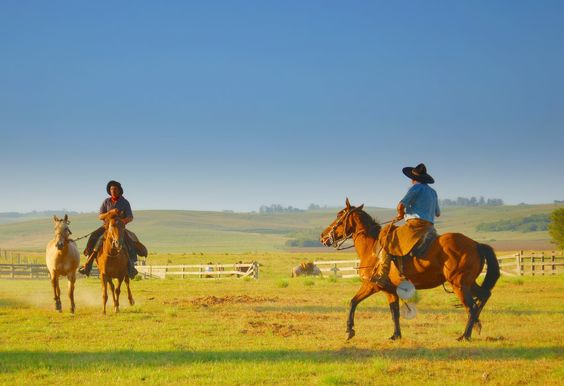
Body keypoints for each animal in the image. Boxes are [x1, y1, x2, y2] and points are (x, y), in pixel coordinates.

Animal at [320, 199, 500, 340]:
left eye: (339, 215)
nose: (323, 236)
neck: (372, 247)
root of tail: (476, 244)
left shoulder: (372, 285)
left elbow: (353, 302)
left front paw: (349, 330)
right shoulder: (390, 290)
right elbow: (394, 312)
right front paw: (396, 335)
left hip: (459, 285)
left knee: (471, 307)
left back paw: (465, 335)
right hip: (468, 283)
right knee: (484, 296)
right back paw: (476, 326)